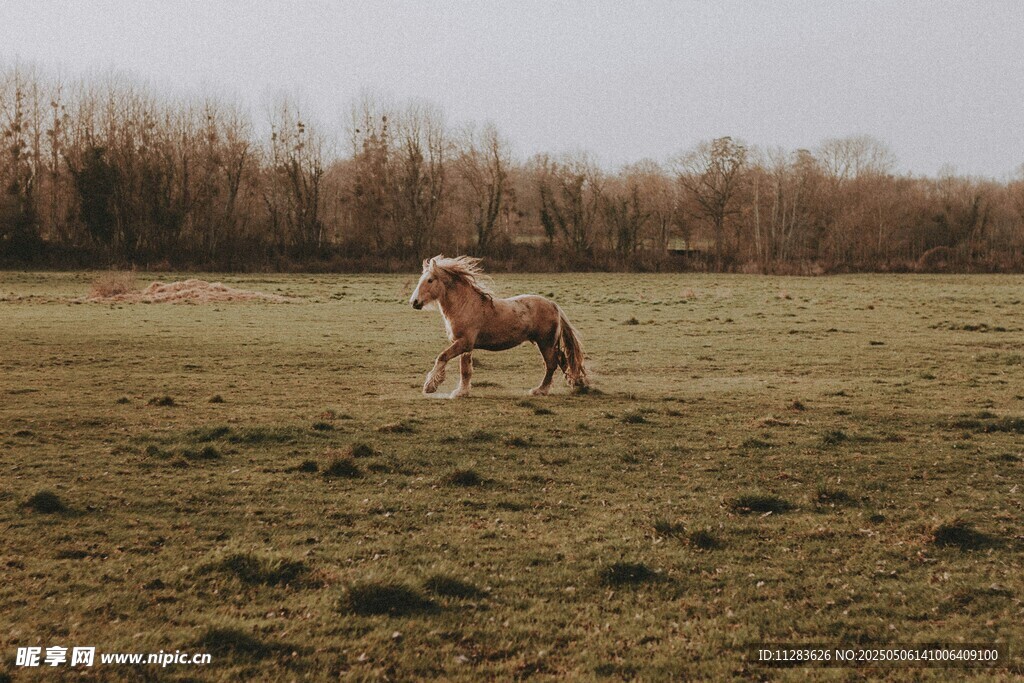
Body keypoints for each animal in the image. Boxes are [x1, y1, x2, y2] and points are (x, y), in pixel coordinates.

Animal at [409, 255, 589, 398]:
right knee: (563, 360)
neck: (465, 305)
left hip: (545, 343)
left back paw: (540, 390)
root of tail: (553, 305)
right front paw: (461, 392)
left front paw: (430, 386)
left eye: (430, 280)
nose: (414, 302)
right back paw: (578, 384)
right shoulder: (465, 346)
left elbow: (442, 357)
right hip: (548, 344)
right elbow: (465, 370)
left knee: (551, 364)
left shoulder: (464, 343)